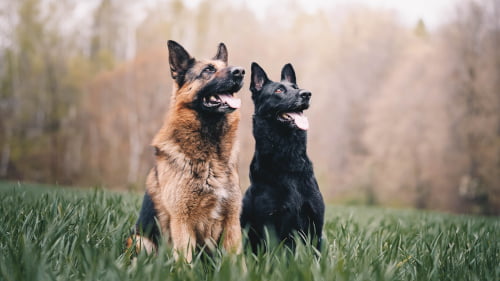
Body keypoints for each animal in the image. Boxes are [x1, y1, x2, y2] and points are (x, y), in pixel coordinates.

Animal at [128, 40, 245, 262]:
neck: (211, 157)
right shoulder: (182, 222)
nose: (241, 71)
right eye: (208, 70)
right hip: (141, 241)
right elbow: (185, 262)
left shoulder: (232, 222)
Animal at [240, 62, 326, 250]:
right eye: (279, 90)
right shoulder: (271, 224)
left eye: (296, 87)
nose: (306, 94)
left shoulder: (316, 224)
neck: (289, 158)